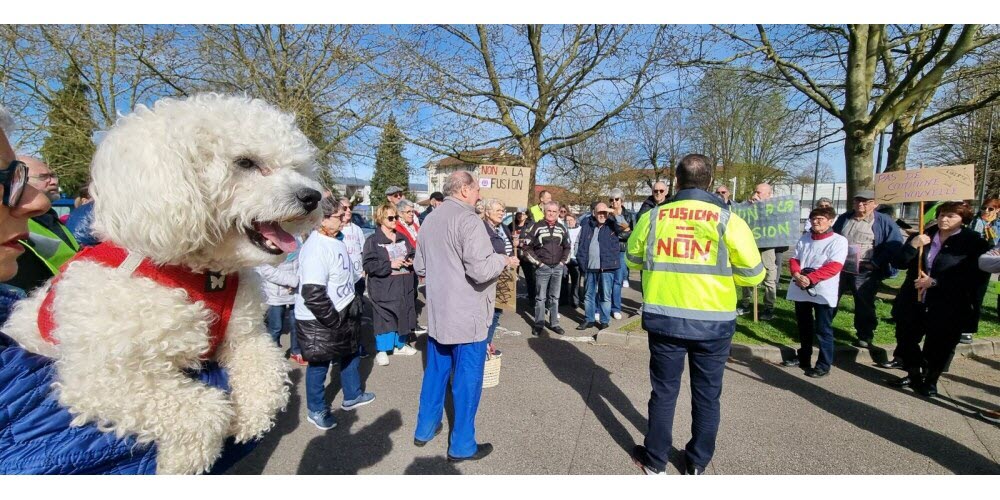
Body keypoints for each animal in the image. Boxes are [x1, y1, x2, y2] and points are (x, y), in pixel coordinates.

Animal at [1, 93, 322, 472]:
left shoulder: (246, 337)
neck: (201, 277)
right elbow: (202, 412)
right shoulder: (100, 376)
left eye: (297, 166)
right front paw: (182, 460)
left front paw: (249, 418)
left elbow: (267, 374)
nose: (313, 197)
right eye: (245, 162)